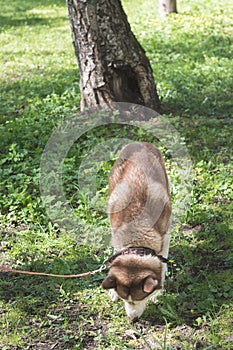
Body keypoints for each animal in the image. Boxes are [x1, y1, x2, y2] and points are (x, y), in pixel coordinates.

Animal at [102, 142, 171, 320]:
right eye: (125, 299)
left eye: (140, 299)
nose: (133, 320)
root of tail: (140, 142)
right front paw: (113, 291)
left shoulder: (165, 234)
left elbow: (162, 261)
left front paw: (158, 290)